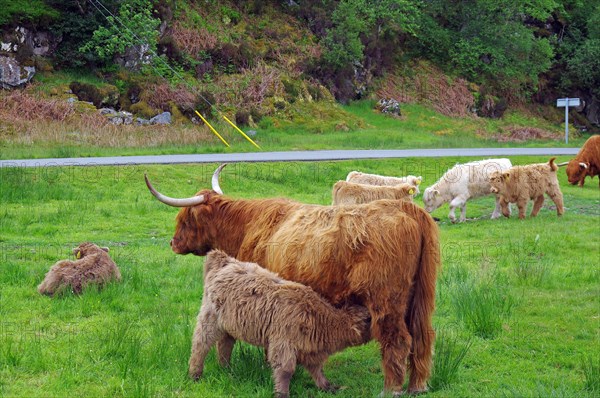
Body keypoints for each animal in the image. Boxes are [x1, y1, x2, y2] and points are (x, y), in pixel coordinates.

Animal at [190, 250, 372, 396]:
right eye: (369, 319)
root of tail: (225, 261)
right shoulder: (283, 343)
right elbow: (285, 371)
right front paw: (282, 393)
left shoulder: (310, 351)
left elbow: (317, 370)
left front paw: (328, 387)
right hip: (209, 319)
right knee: (200, 344)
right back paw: (195, 375)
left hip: (230, 324)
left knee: (224, 345)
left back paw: (227, 369)